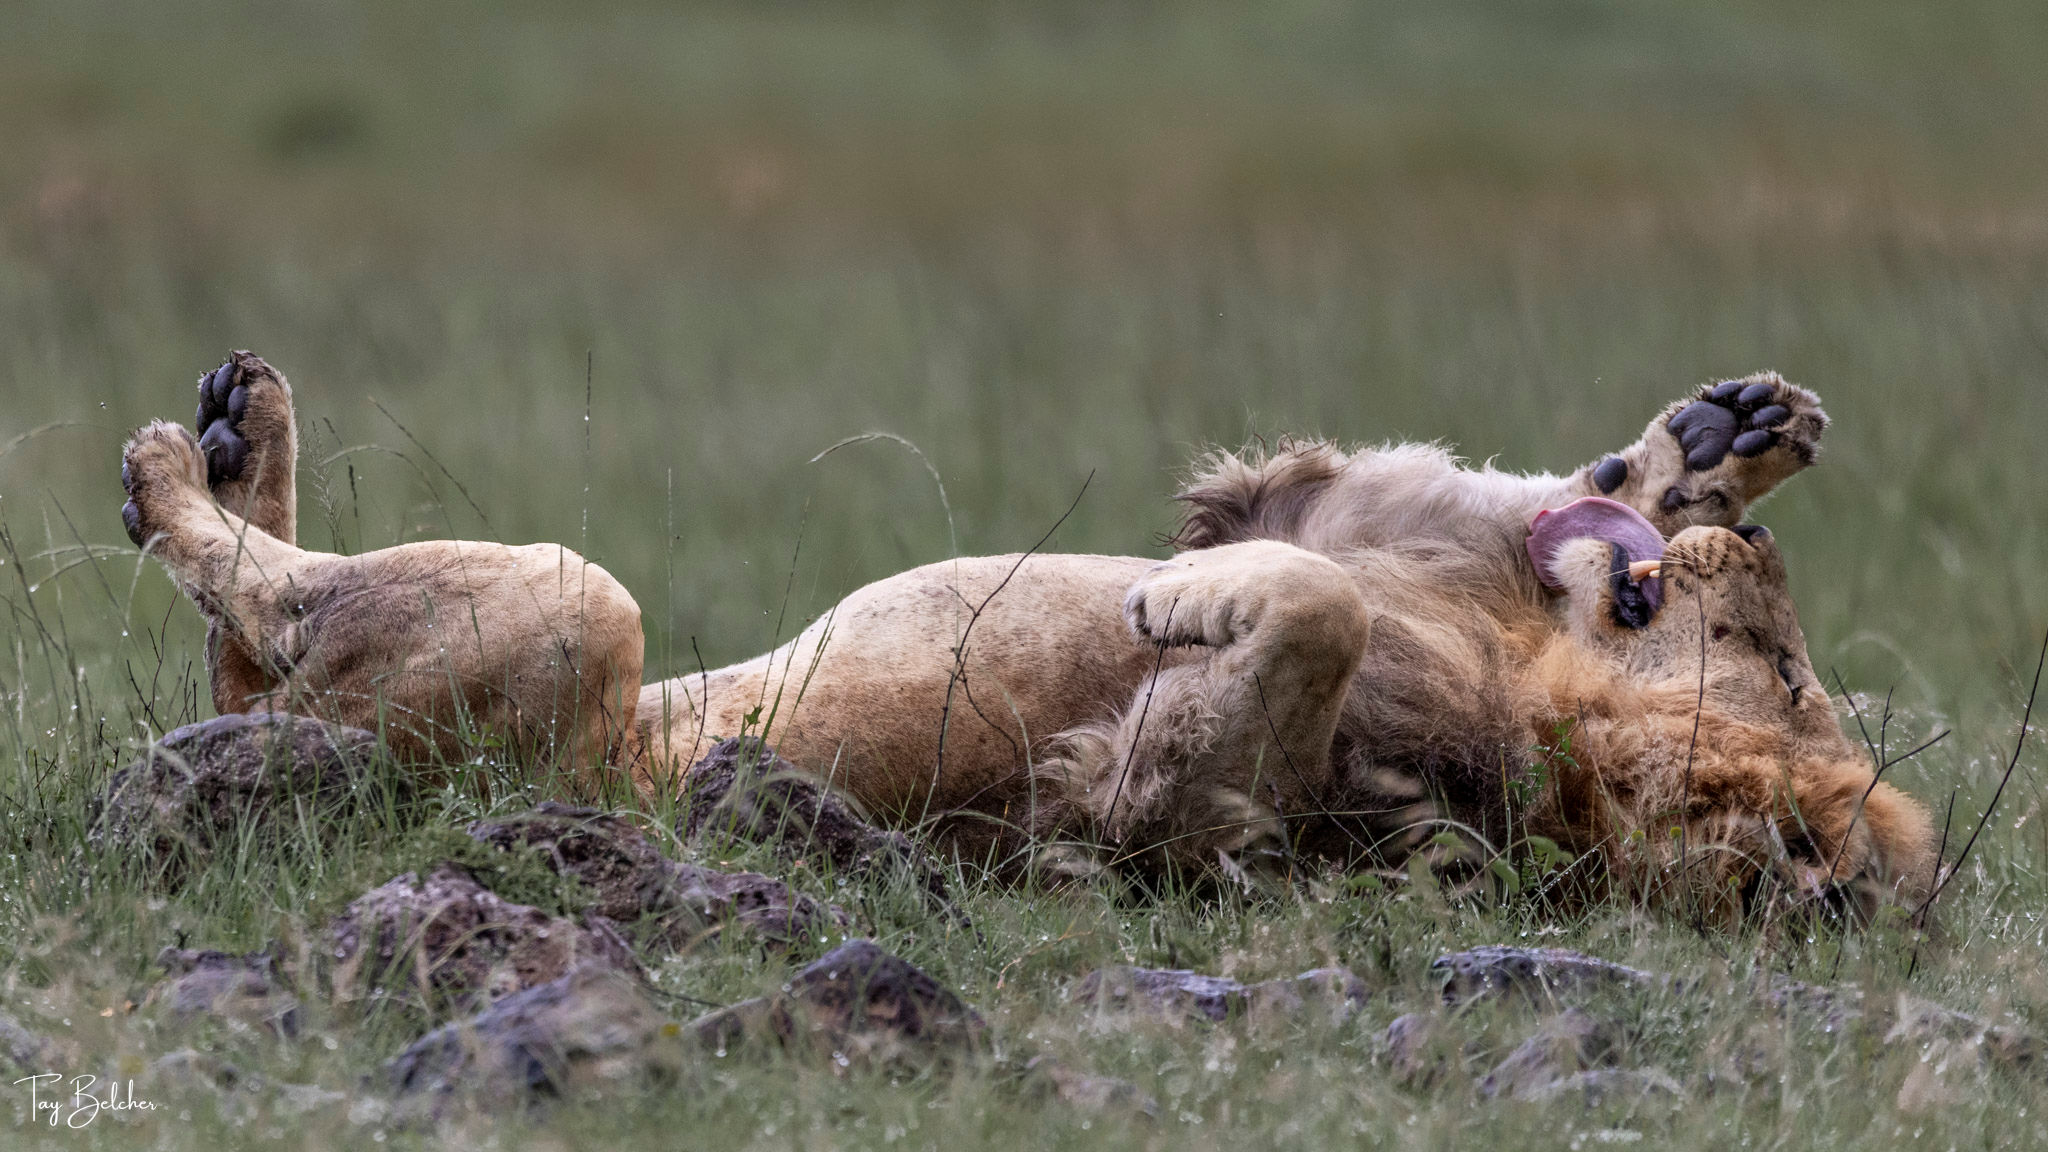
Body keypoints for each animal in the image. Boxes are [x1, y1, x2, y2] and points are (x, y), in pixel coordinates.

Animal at [118, 354, 1934, 916]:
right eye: (1794, 662)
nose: (1757, 549)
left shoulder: (1159, 808)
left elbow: (1304, 622)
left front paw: (1183, 609)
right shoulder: (1355, 516)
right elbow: (1413, 521)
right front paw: (1726, 437)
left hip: (568, 623)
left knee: (267, 618)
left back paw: (172, 470)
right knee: (240, 658)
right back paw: (236, 425)